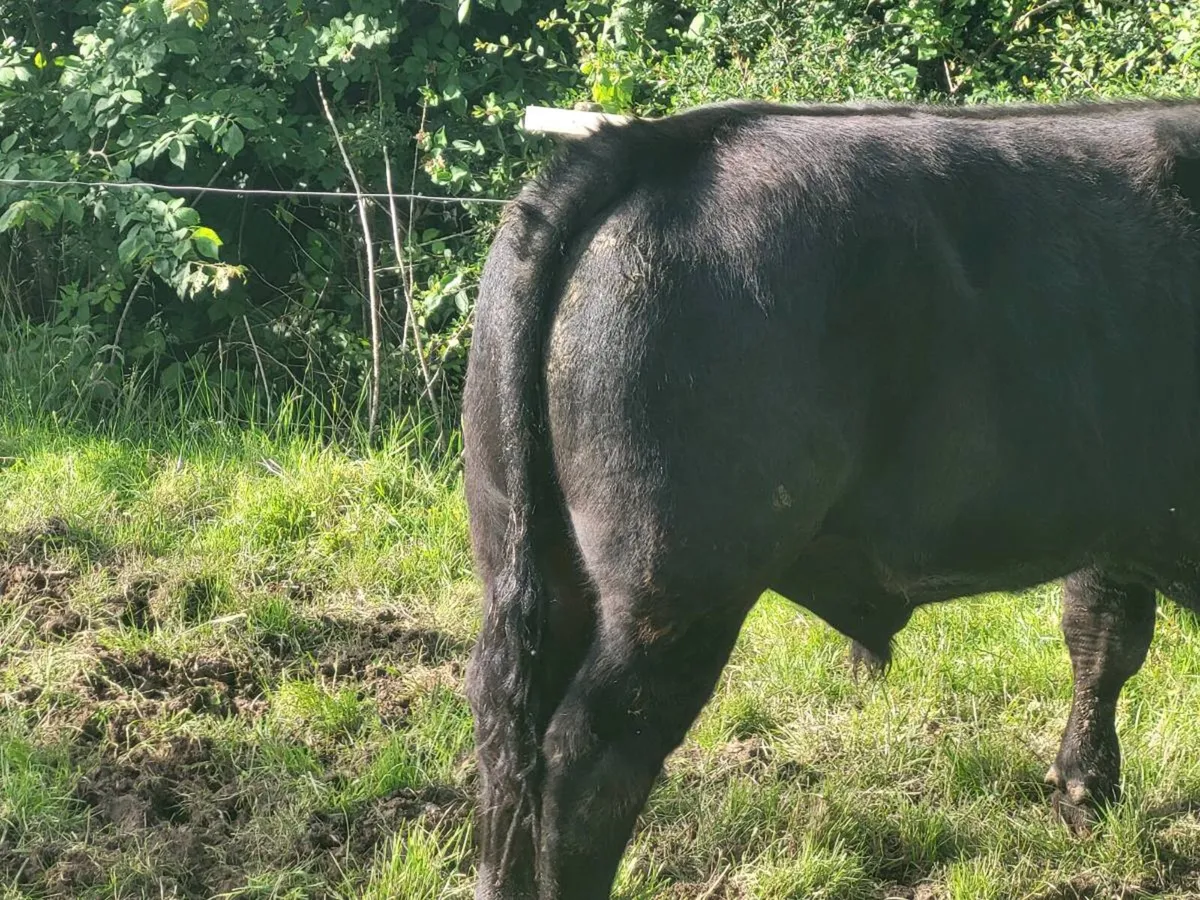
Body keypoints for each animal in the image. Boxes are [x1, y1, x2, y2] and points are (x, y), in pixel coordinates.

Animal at [462, 97, 1200, 899]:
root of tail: (666, 142)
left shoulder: (1113, 522)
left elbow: (1102, 640)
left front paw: (1086, 793)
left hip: (531, 560)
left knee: (508, 734)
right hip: (679, 591)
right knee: (590, 755)